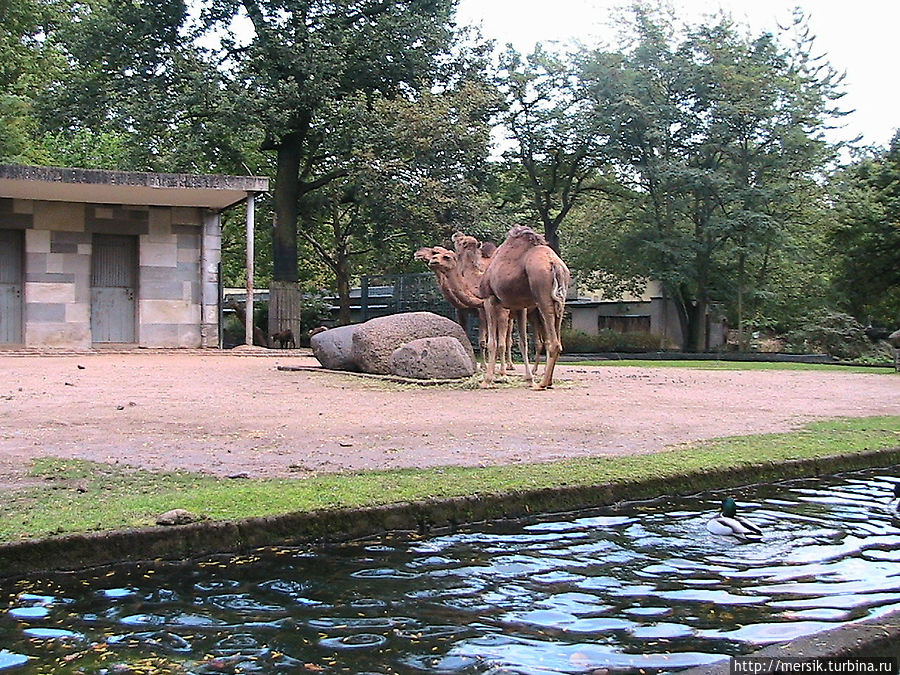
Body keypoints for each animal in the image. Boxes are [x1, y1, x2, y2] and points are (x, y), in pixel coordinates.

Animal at [478, 226, 568, 390]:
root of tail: (555, 265)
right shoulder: (521, 307)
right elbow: (523, 343)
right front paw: (529, 379)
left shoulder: (489, 299)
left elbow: (492, 342)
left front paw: (487, 380)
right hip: (560, 302)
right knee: (557, 340)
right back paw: (548, 382)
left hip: (543, 297)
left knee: (553, 342)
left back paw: (542, 384)